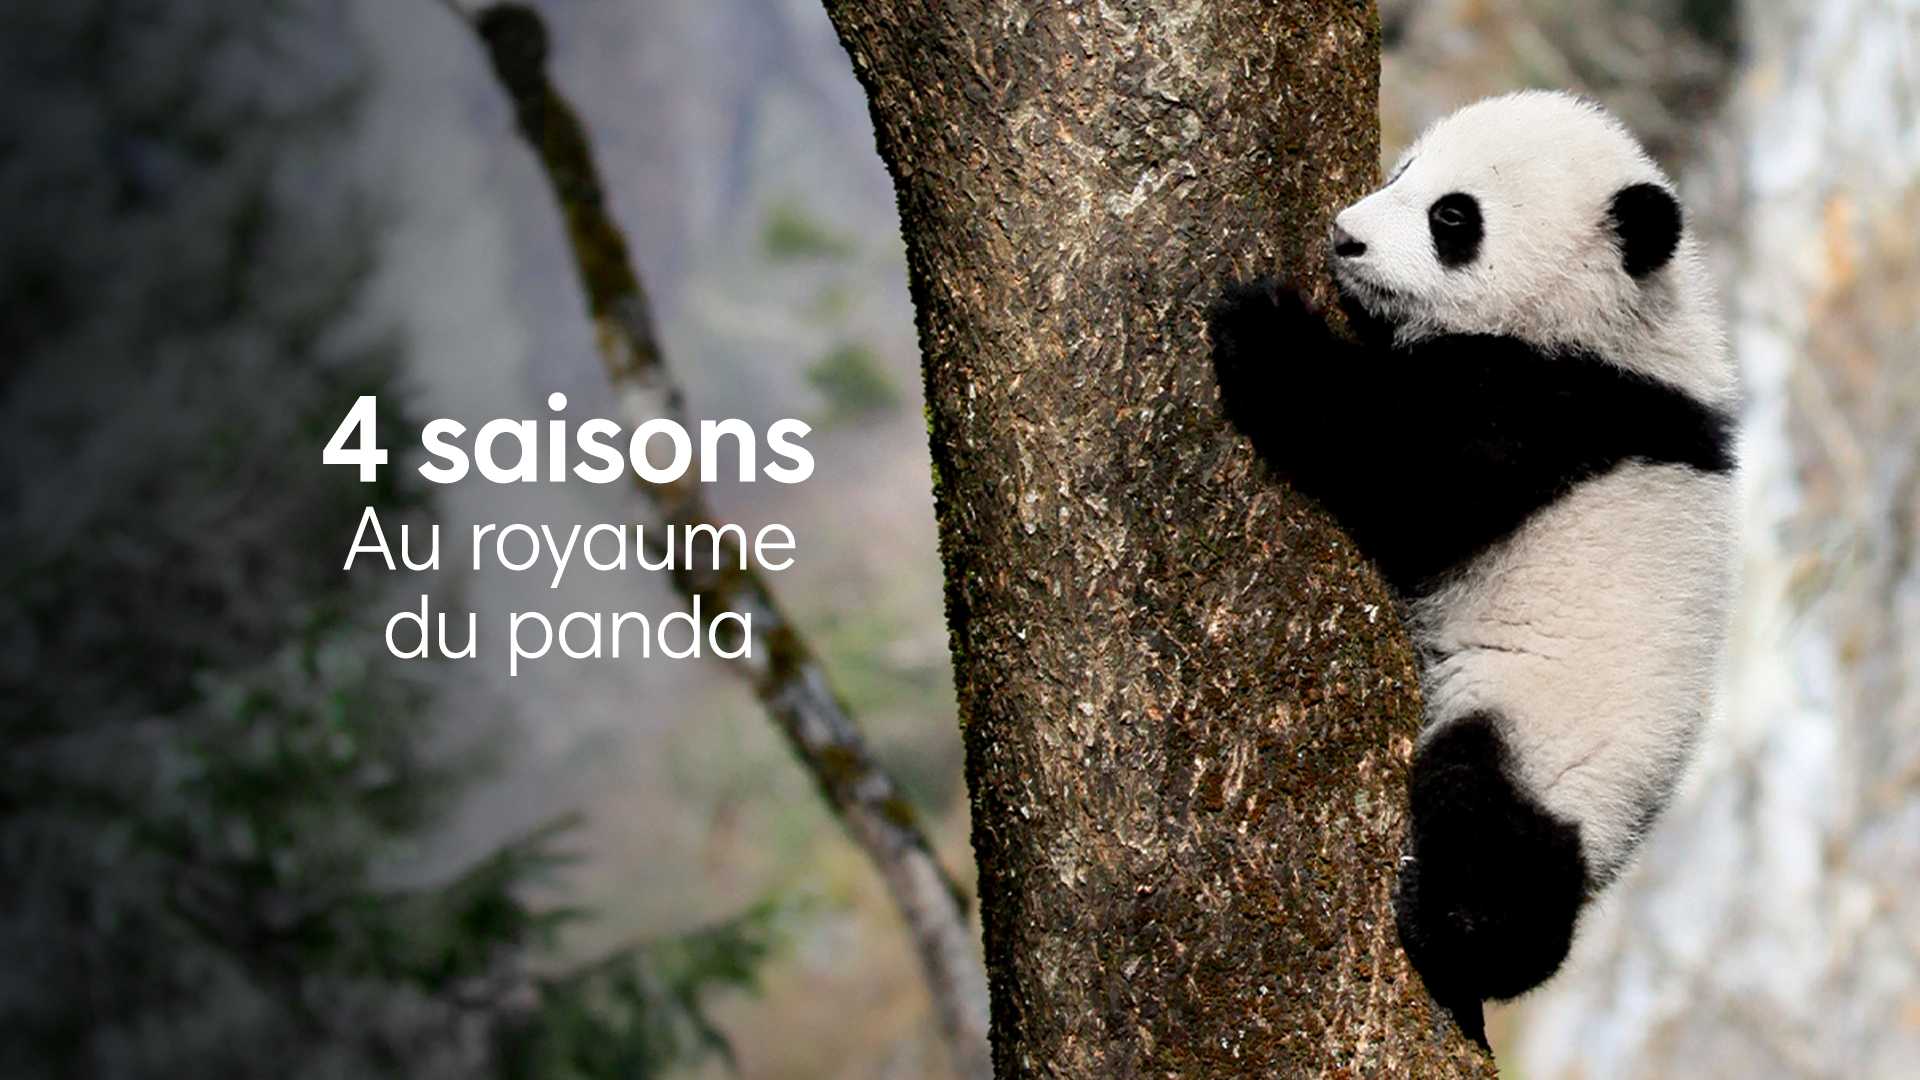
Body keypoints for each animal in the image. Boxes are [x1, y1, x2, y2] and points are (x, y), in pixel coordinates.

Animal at [1207, 90, 1737, 1048]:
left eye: (1454, 218)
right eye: (1402, 171)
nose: (1345, 238)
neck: (1614, 319)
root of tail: (1619, 840)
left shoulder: (1548, 413)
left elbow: (1404, 472)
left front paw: (1263, 325)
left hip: (1548, 736)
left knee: (1492, 833)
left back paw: (1460, 936)